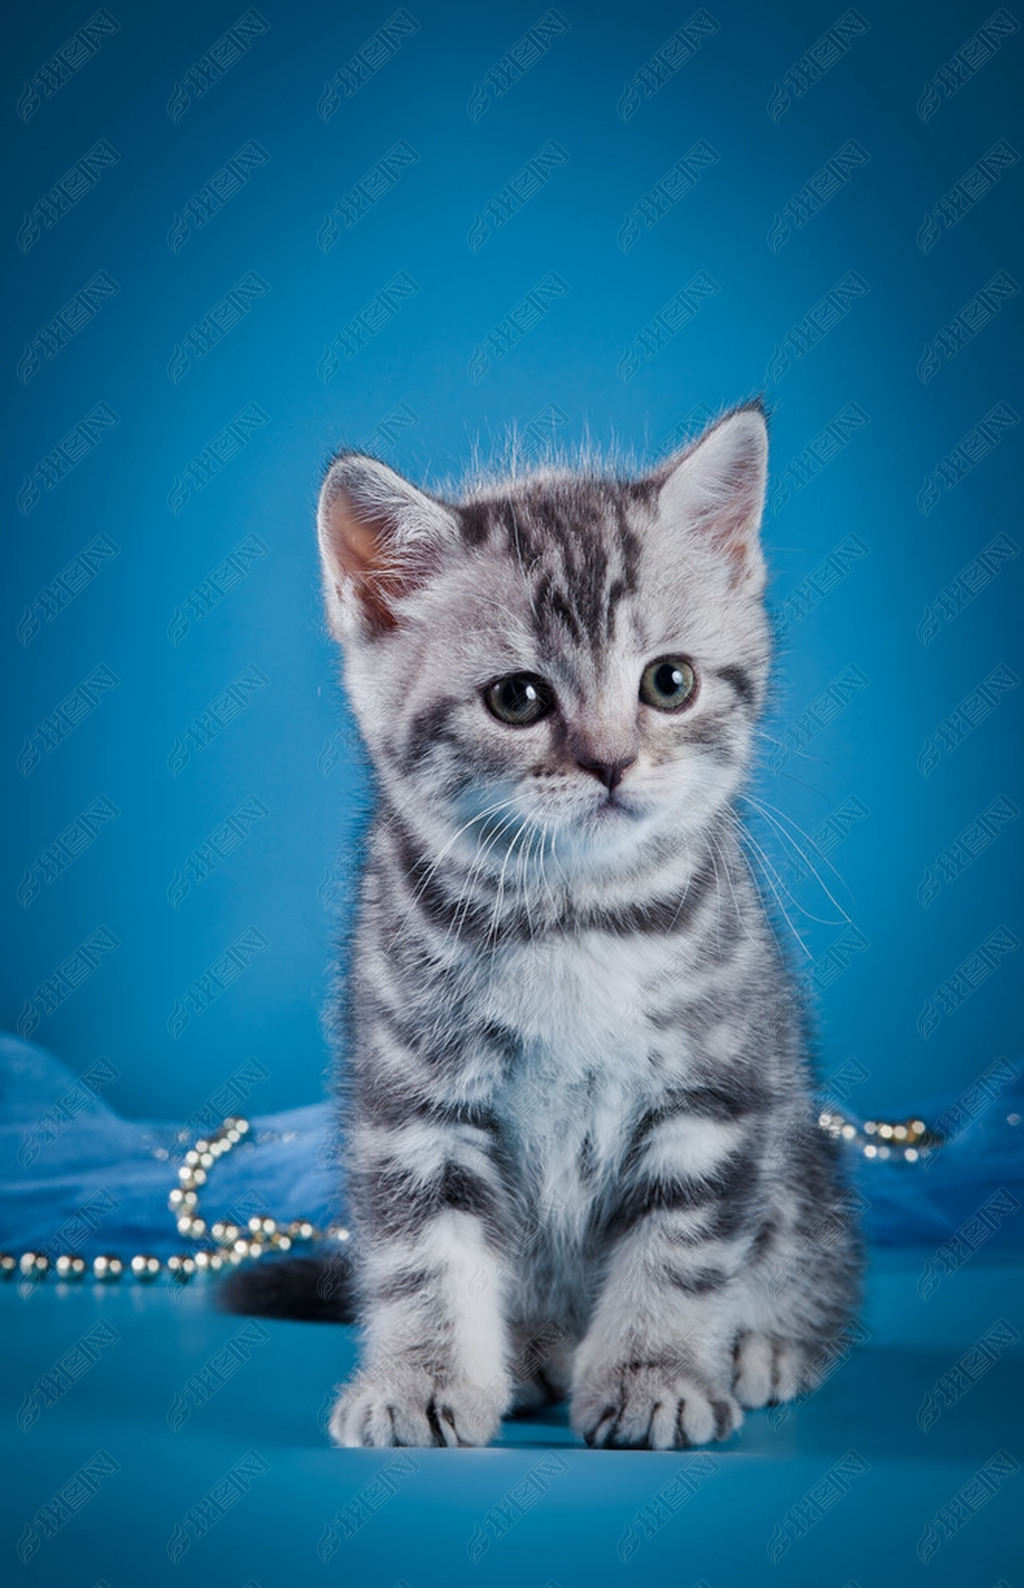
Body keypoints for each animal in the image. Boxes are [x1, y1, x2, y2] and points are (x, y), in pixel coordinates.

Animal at [230, 403, 857, 1448]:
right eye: (517, 699)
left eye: (669, 683)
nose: (610, 762)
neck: (573, 913)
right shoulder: (414, 1100)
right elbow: (425, 1258)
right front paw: (420, 1379)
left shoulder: (712, 1095)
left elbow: (678, 1249)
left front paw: (654, 1375)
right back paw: (531, 1353)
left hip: (806, 1170)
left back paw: (767, 1347)